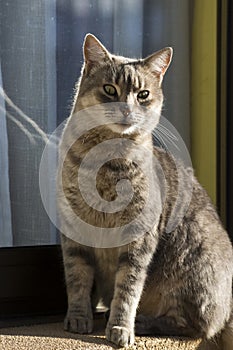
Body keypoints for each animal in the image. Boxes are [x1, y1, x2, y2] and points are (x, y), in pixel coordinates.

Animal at [57, 33, 233, 350]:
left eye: (143, 95)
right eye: (109, 89)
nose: (127, 108)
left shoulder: (139, 237)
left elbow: (128, 289)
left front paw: (121, 328)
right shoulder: (74, 233)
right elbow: (77, 279)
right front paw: (78, 318)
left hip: (190, 271)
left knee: (191, 326)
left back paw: (140, 322)